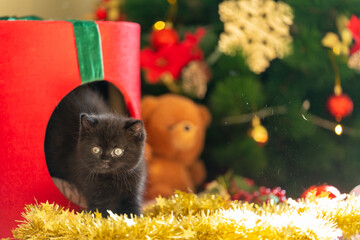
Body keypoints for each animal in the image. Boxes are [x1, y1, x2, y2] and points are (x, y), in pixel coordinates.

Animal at [45, 84, 146, 216]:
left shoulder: (133, 190)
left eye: (118, 151)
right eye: (96, 149)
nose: (105, 160)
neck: (112, 178)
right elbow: (102, 212)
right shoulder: (96, 195)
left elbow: (133, 210)